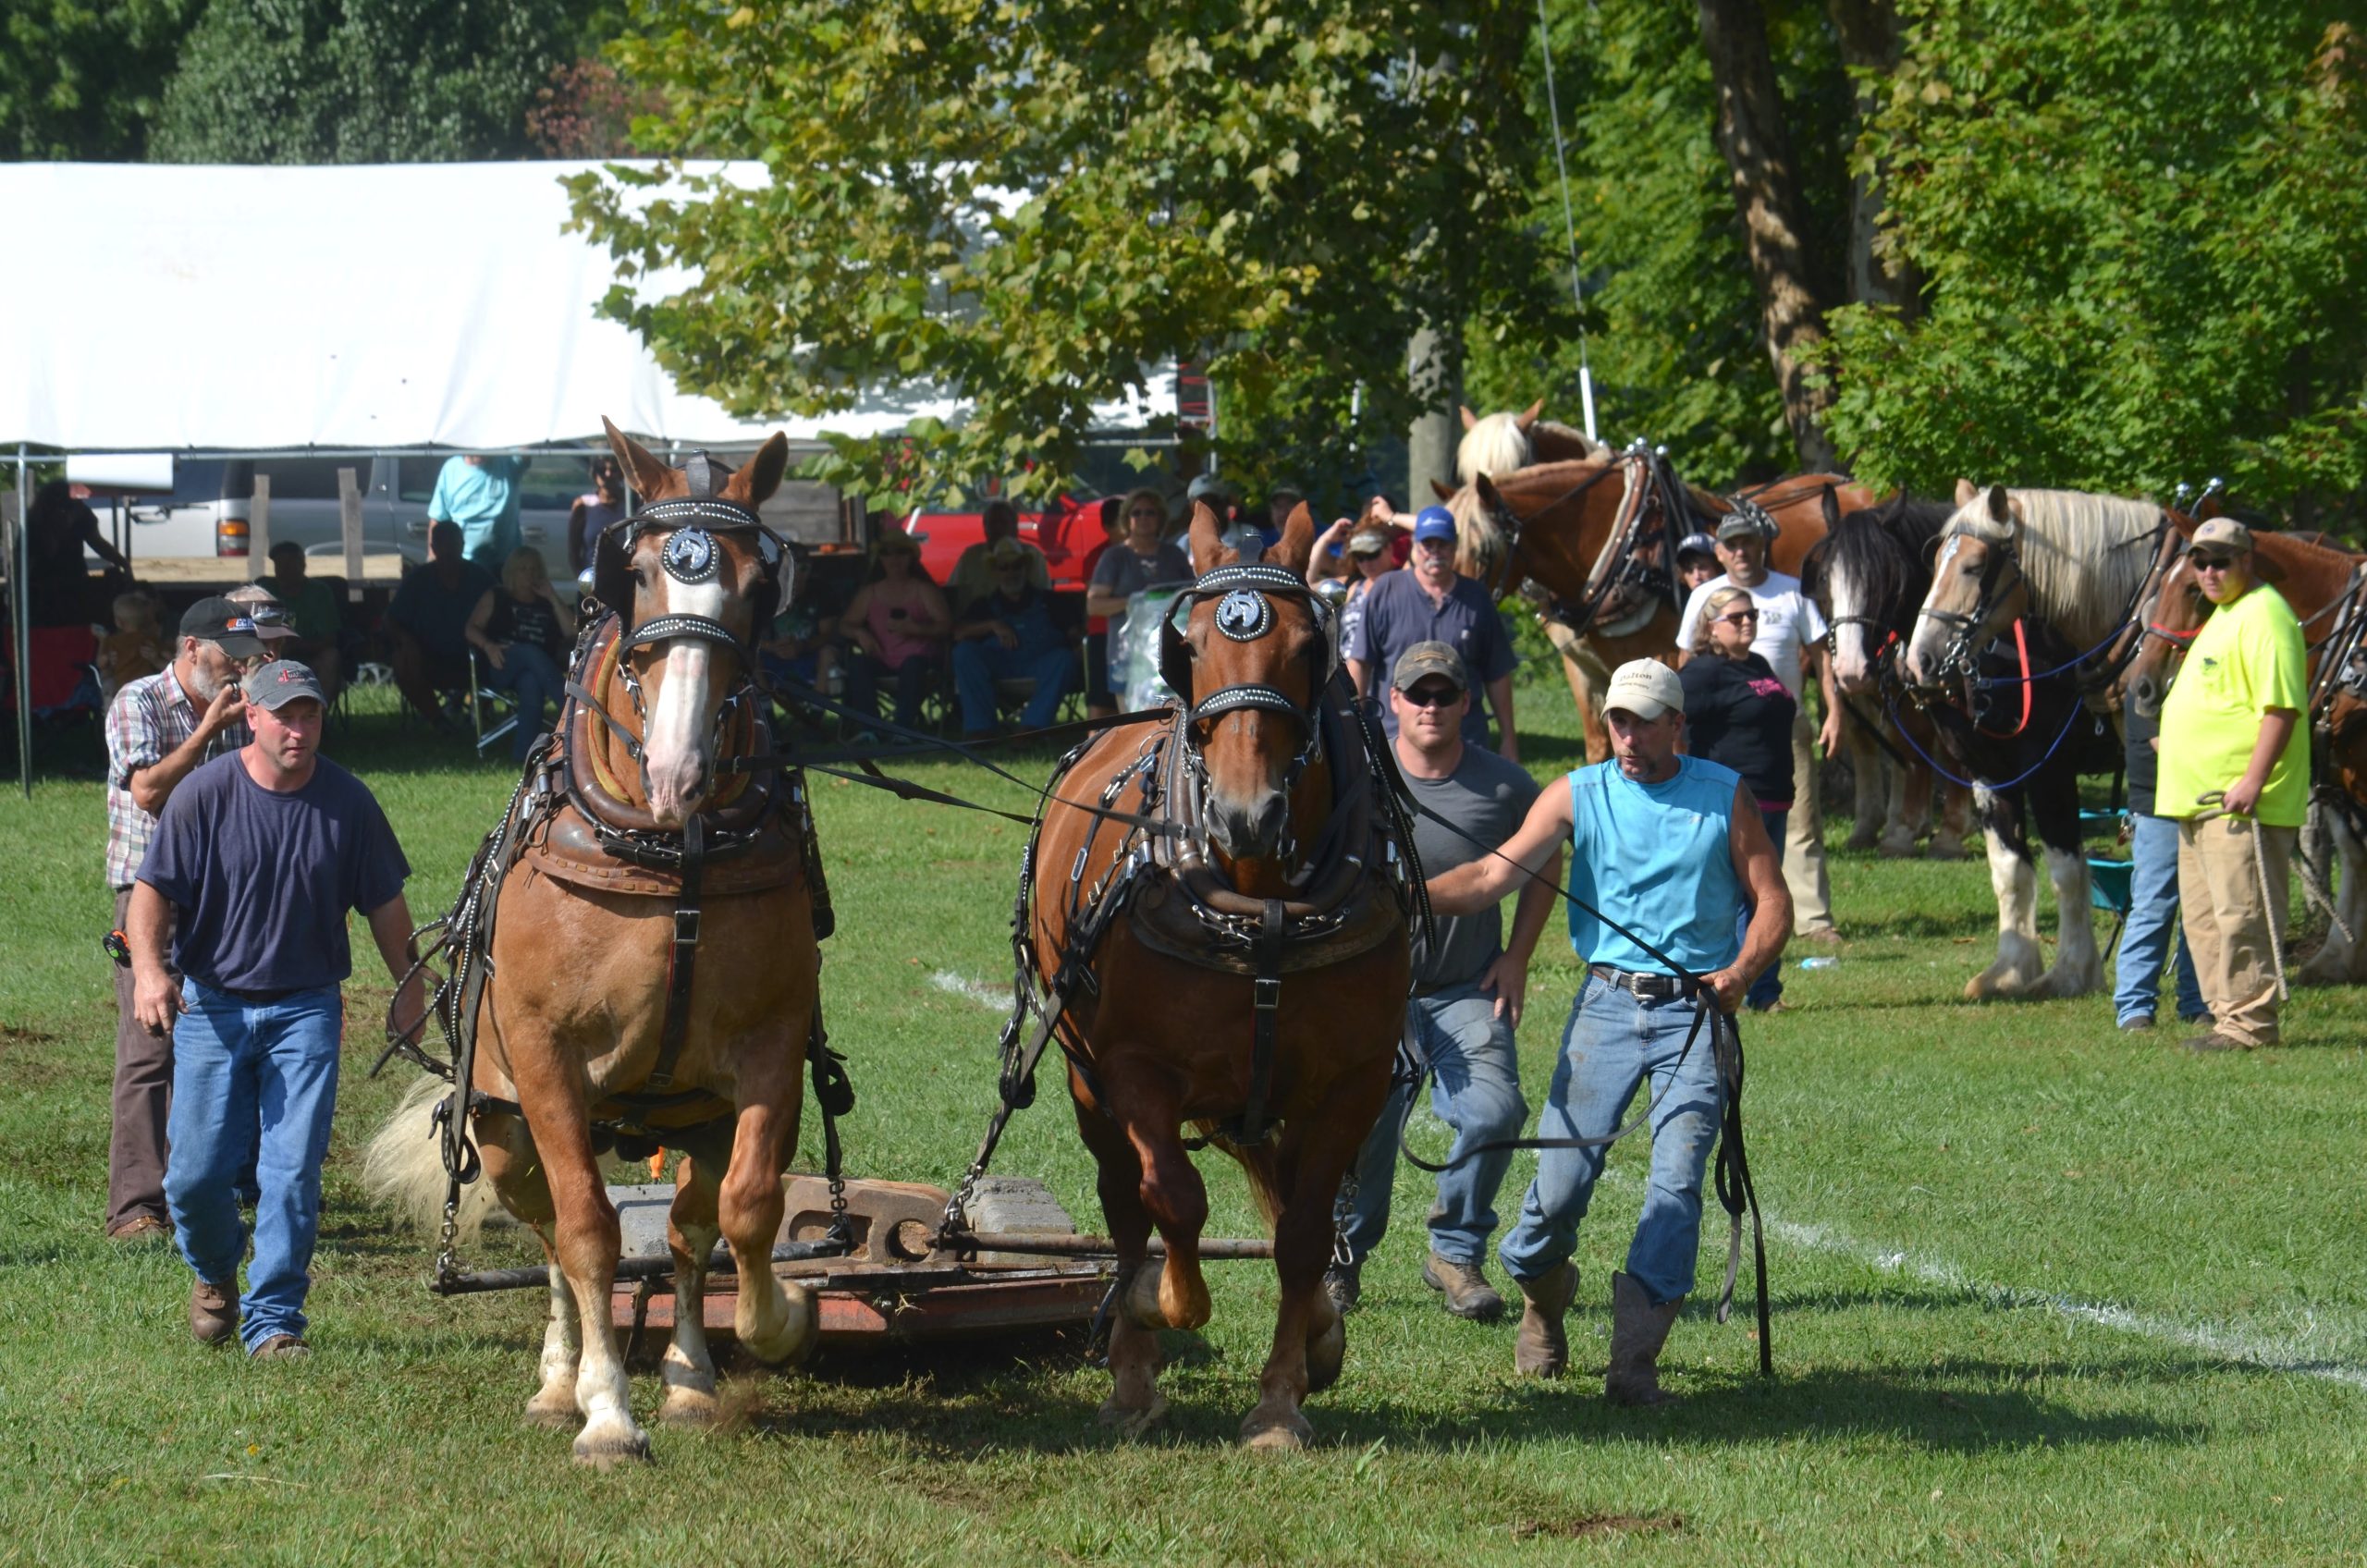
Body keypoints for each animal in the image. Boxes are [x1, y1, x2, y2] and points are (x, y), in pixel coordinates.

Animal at [360, 422, 823, 1477]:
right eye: (638, 573)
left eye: (757, 583)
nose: (680, 766)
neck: (672, 854)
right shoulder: (546, 1059)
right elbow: (586, 1230)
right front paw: (606, 1410)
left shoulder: (771, 1050)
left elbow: (747, 1206)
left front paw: (773, 1322)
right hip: (500, 1124)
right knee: (546, 1232)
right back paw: (559, 1379)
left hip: (696, 1114)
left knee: (691, 1225)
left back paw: (690, 1376)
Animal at [1008, 504, 1410, 1449]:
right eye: (1186, 647)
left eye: (1311, 645)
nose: (1244, 813)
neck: (1261, 905)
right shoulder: (1132, 1070)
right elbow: (1174, 1198)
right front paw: (1158, 1304)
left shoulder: (1352, 1083)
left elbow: (1303, 1233)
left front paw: (1283, 1399)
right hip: (1084, 1079)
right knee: (1125, 1202)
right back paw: (1131, 1371)